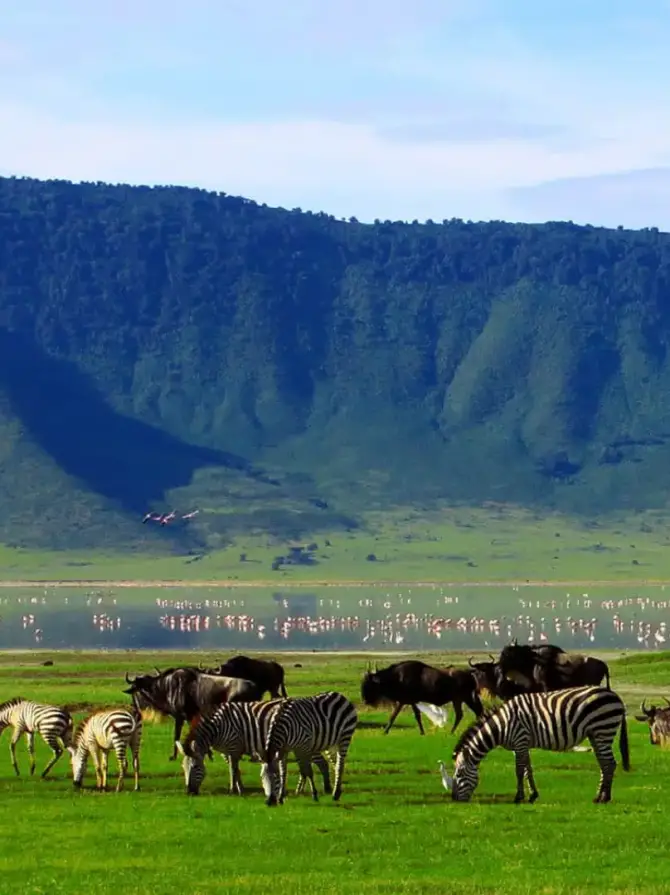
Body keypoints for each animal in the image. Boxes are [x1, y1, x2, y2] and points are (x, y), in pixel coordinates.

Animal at [176, 700, 334, 800]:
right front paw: (240, 788)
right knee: (306, 767)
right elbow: (235, 769)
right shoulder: (229, 751)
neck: (218, 727)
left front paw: (234, 791)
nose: (189, 792)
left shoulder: (233, 745)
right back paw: (299, 790)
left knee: (321, 763)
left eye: (195, 767)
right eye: (183, 768)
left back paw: (326, 788)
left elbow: (233, 770)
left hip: (304, 744)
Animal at [446, 688, 632, 804]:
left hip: (603, 730)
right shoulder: (521, 745)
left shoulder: (520, 740)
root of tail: (616, 696)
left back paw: (604, 798)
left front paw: (518, 797)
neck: (502, 725)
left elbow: (519, 770)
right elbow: (528, 769)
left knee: (609, 764)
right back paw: (600, 796)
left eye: (459, 774)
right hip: (596, 734)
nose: (454, 798)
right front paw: (533, 795)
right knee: (604, 764)